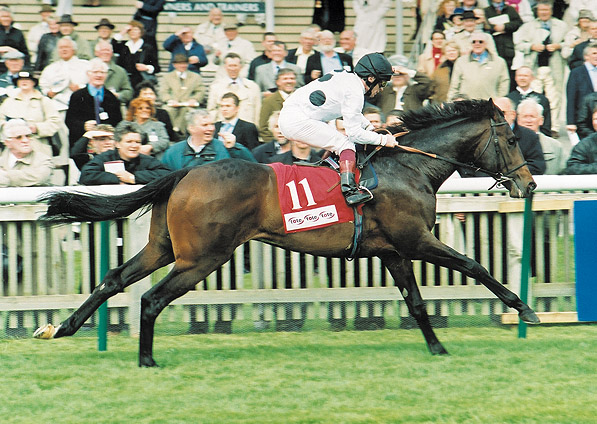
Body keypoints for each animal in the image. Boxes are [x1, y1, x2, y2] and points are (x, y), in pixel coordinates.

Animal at [33, 100, 540, 368]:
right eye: (513, 139)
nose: (529, 184)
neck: (410, 167)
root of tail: (184, 173)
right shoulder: (416, 241)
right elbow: (474, 265)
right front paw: (525, 310)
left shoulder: (392, 250)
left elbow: (416, 302)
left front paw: (437, 346)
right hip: (202, 257)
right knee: (152, 299)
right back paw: (146, 359)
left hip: (165, 247)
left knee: (114, 278)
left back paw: (60, 327)